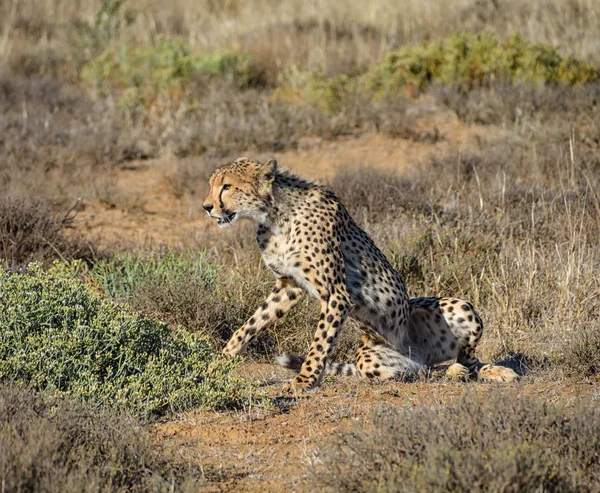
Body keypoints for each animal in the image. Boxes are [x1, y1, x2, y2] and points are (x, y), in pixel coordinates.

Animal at [204, 158, 516, 392]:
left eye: (227, 186)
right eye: (211, 185)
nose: (207, 207)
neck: (273, 214)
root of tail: (415, 353)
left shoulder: (336, 294)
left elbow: (320, 342)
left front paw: (304, 381)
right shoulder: (288, 285)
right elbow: (249, 325)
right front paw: (217, 364)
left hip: (461, 307)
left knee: (469, 360)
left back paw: (493, 372)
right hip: (374, 361)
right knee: (426, 372)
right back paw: (452, 372)